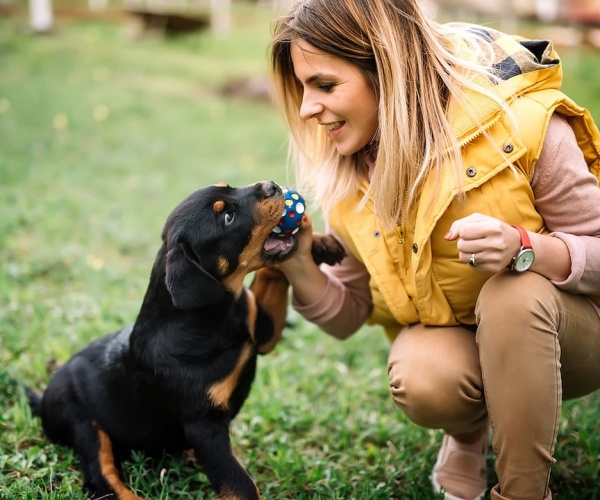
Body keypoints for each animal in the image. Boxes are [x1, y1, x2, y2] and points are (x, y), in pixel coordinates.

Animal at [25, 181, 346, 500]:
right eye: (226, 217)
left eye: (229, 187)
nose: (272, 185)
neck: (212, 316)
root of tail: (42, 399)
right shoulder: (203, 425)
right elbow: (240, 485)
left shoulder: (261, 332)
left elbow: (273, 273)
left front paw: (319, 243)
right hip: (82, 421)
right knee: (101, 478)